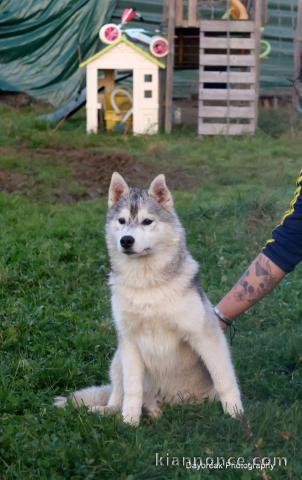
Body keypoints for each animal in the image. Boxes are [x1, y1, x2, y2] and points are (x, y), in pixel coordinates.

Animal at [54, 172, 243, 424]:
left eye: (147, 221)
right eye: (122, 221)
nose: (126, 240)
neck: (147, 285)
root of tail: (170, 401)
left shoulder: (205, 335)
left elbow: (225, 380)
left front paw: (235, 412)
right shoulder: (130, 343)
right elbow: (132, 389)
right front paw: (129, 421)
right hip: (118, 358)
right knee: (118, 395)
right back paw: (114, 410)